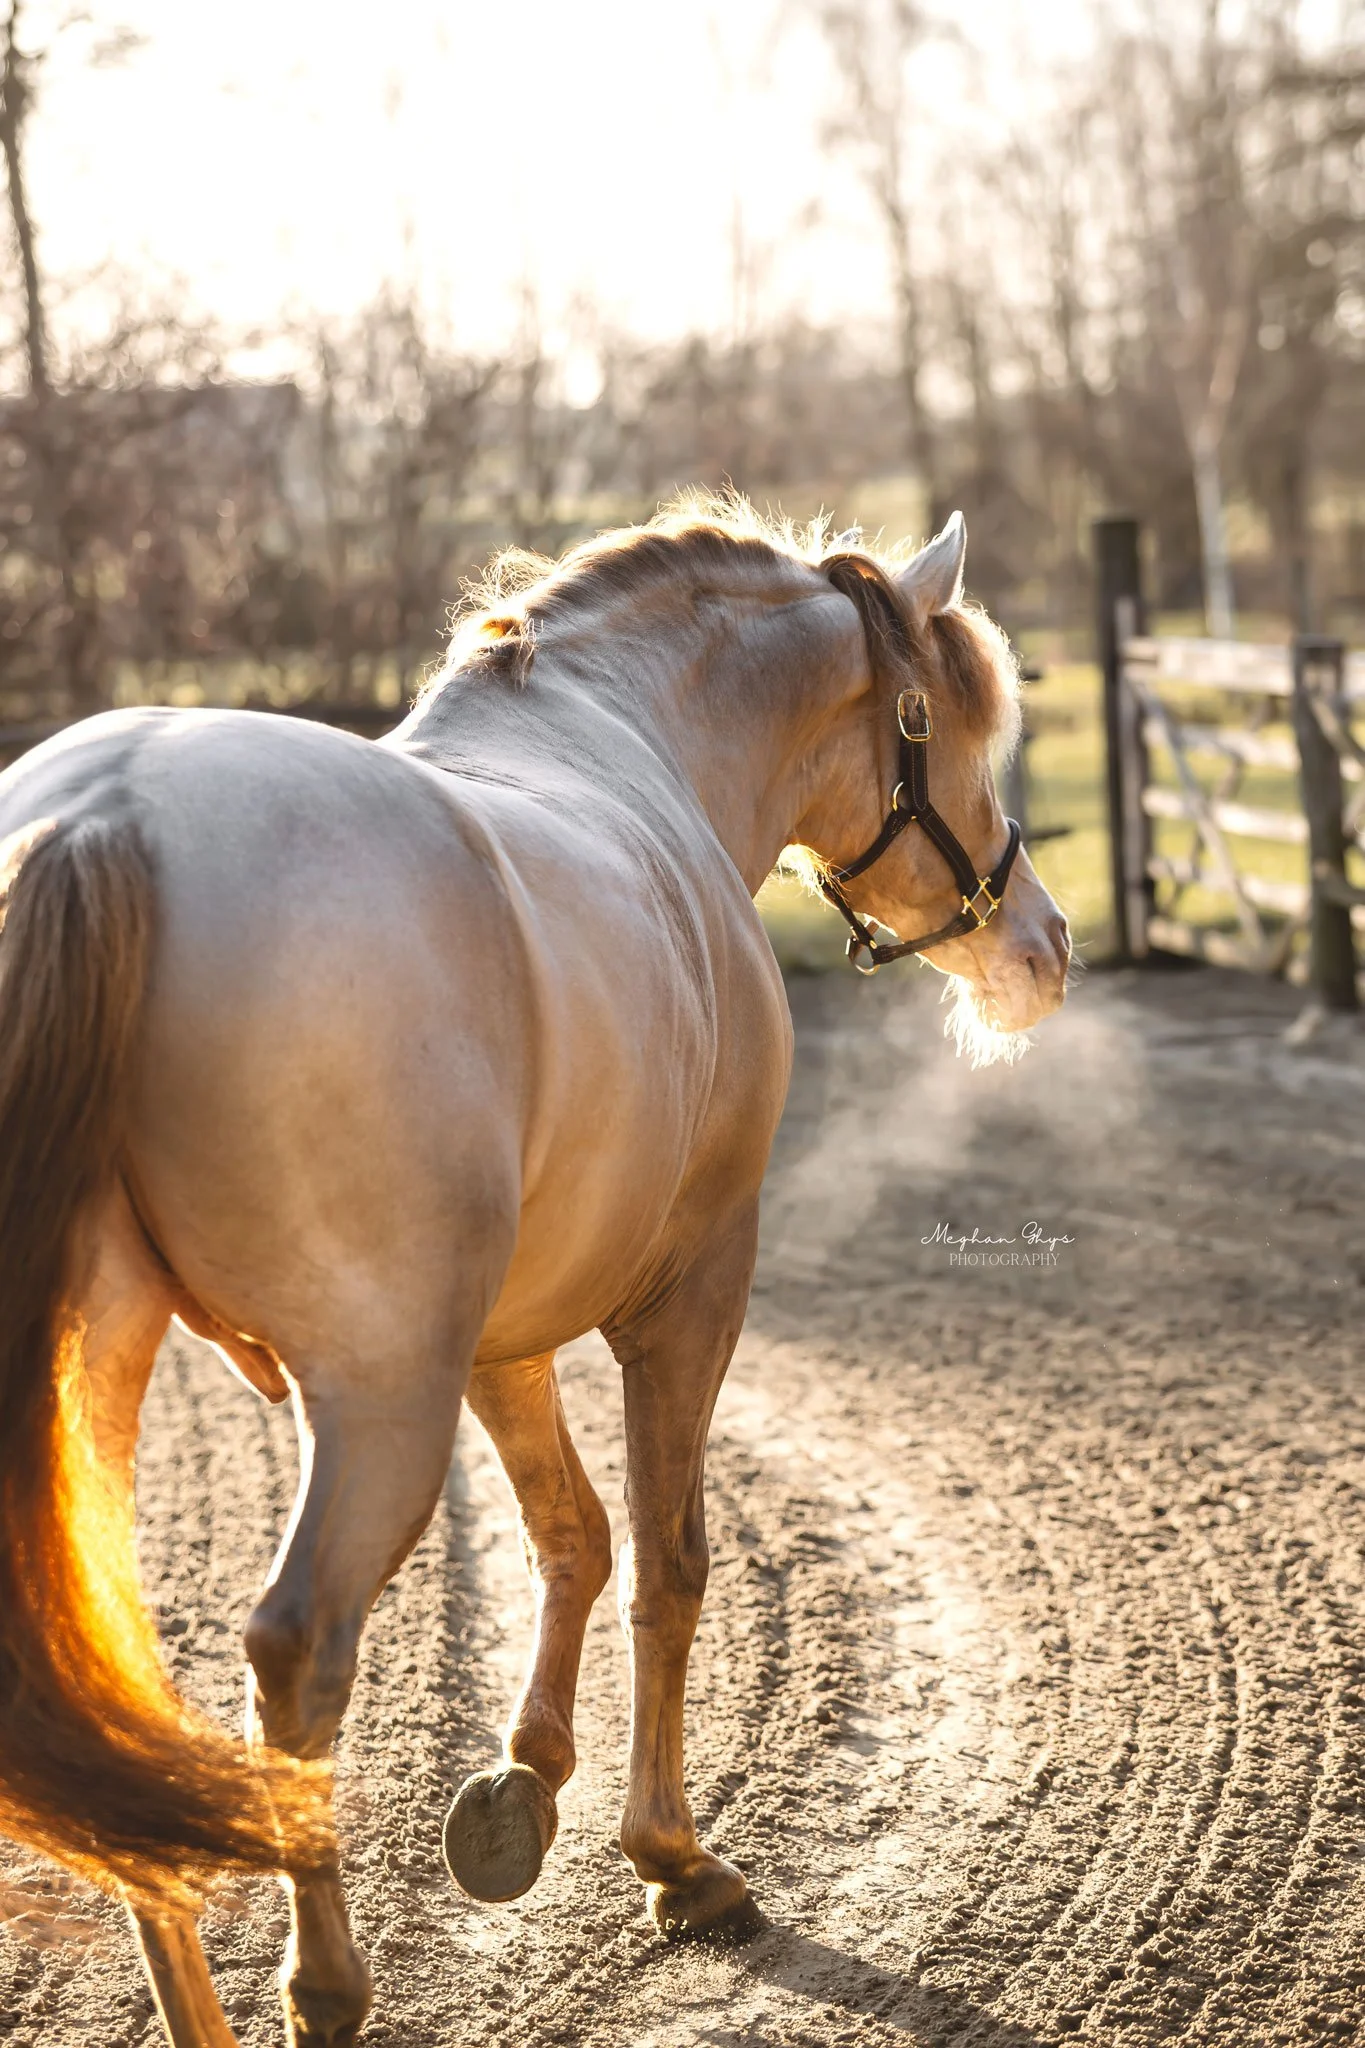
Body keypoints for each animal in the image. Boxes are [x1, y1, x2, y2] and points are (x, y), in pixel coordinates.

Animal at [0, 500, 1068, 2047]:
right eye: (956, 728)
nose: (1044, 945)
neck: (621, 737)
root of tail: (100, 821)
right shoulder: (689, 1294)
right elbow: (670, 1562)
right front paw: (673, 1858)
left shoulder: (504, 1338)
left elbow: (573, 1533)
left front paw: (524, 1785)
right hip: (379, 1394)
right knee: (297, 1650)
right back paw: (325, 1986)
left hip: (111, 1380)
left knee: (115, 1671)